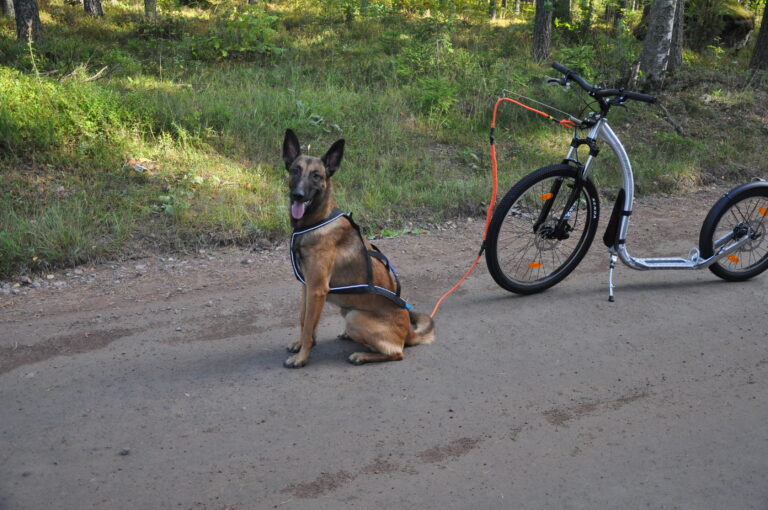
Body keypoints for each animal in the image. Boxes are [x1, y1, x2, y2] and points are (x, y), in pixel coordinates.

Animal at [284, 127, 438, 366]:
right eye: (295, 171)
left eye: (316, 176)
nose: (297, 195)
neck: (316, 221)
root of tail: (409, 333)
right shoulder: (307, 286)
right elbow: (304, 319)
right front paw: (301, 344)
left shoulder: (317, 289)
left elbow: (309, 324)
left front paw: (302, 357)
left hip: (354, 316)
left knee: (397, 352)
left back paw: (362, 355)